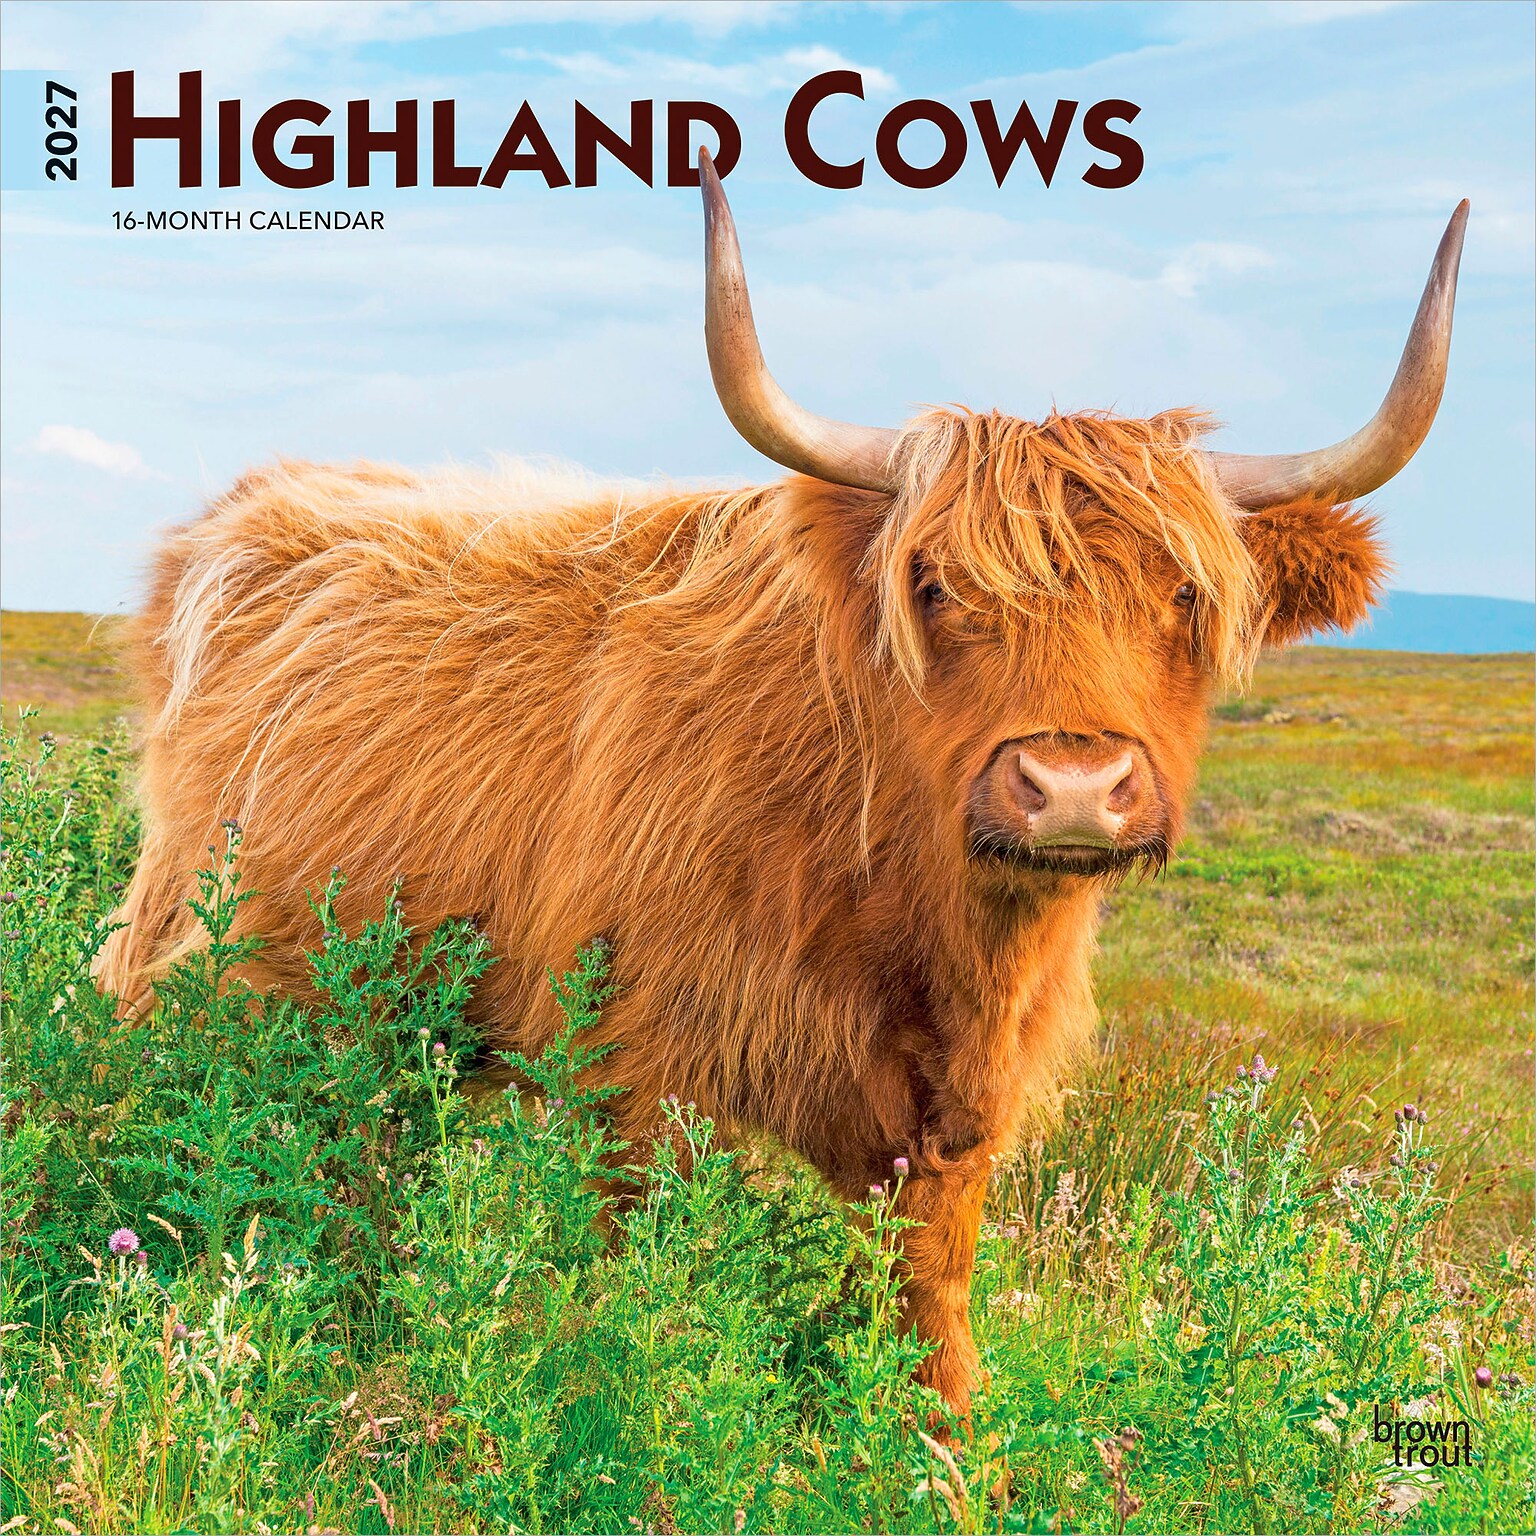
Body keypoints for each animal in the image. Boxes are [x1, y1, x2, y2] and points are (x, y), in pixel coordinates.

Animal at [97, 154, 1466, 1416]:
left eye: (1186, 594)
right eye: (936, 586)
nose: (1073, 785)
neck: (904, 906)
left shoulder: (953, 1121)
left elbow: (929, 1310)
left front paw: (947, 1461)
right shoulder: (630, 1062)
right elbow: (637, 1289)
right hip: (196, 958)